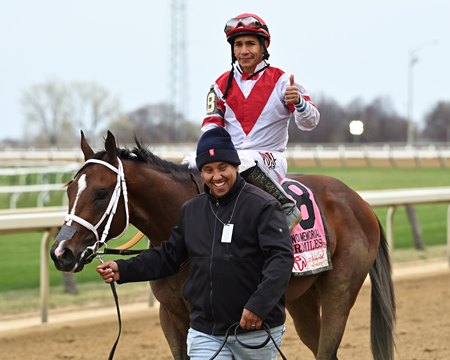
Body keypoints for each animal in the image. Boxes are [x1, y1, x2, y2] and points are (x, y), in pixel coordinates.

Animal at [50, 131, 394, 360]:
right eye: (70, 189)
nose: (61, 252)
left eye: (101, 193)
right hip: (302, 299)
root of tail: (360, 202)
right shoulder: (171, 316)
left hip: (339, 290)